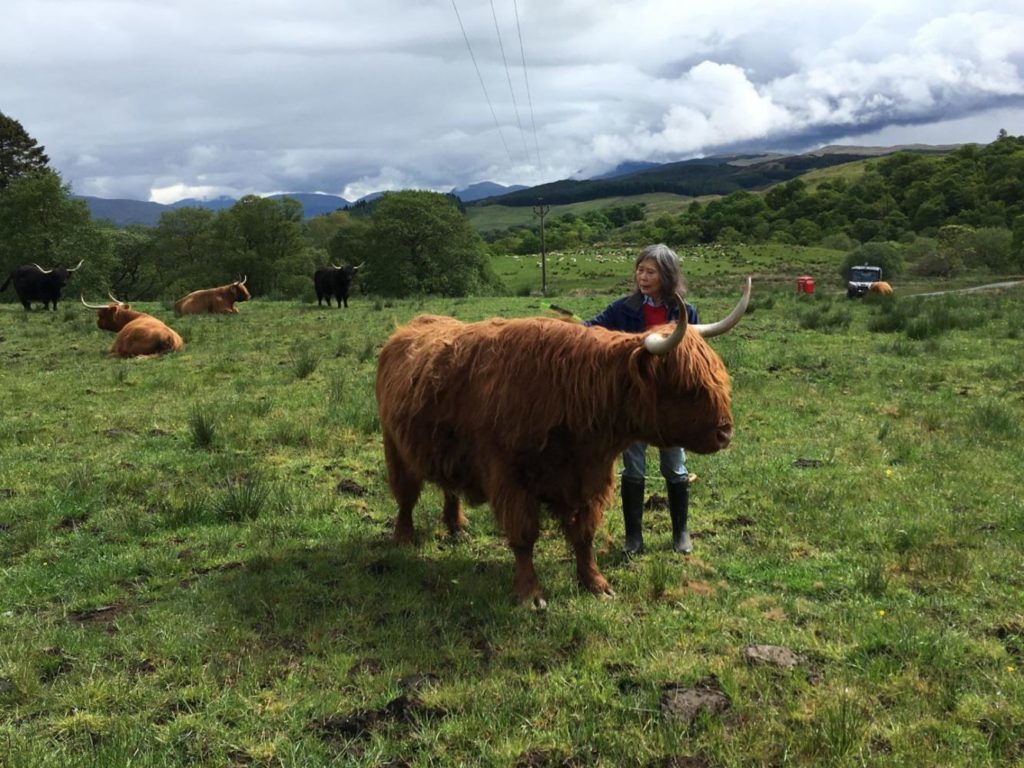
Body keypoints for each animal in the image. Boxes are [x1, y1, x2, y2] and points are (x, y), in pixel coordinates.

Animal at [376, 280, 753, 610]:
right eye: (688, 387)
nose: (725, 433)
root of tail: (406, 329)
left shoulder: (590, 478)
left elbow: (584, 535)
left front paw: (596, 584)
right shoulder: (510, 479)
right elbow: (524, 536)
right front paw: (530, 594)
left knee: (449, 487)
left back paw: (457, 526)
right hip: (394, 445)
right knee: (405, 495)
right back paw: (403, 538)